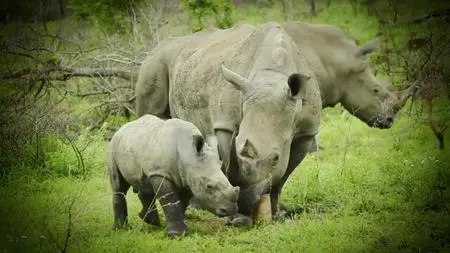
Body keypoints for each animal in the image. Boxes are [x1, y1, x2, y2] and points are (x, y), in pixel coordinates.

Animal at [107, 114, 241, 237]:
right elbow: (170, 200)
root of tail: (122, 128)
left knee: (144, 182)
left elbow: (183, 202)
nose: (230, 210)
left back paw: (151, 221)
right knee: (119, 186)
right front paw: (175, 234)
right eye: (209, 186)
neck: (187, 152)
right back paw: (120, 228)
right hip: (113, 146)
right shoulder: (161, 173)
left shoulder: (187, 177)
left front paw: (181, 230)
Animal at [135, 21, 322, 225]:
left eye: (275, 158)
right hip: (153, 63)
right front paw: (237, 219)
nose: (246, 203)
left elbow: (283, 177)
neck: (272, 75)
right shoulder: (225, 124)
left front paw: (275, 213)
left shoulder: (307, 133)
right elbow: (227, 162)